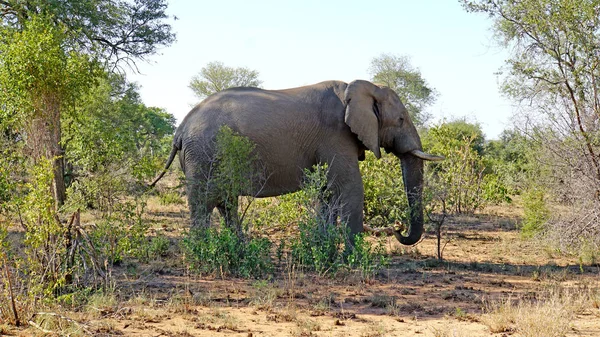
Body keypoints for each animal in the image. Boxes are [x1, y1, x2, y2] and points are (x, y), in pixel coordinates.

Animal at [151, 80, 440, 245]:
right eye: (401, 119)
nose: (397, 229)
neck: (361, 87)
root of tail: (181, 128)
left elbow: (326, 192)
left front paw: (322, 247)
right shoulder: (335, 134)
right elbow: (349, 187)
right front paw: (355, 256)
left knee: (226, 200)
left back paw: (238, 247)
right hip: (203, 153)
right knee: (205, 200)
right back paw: (202, 249)